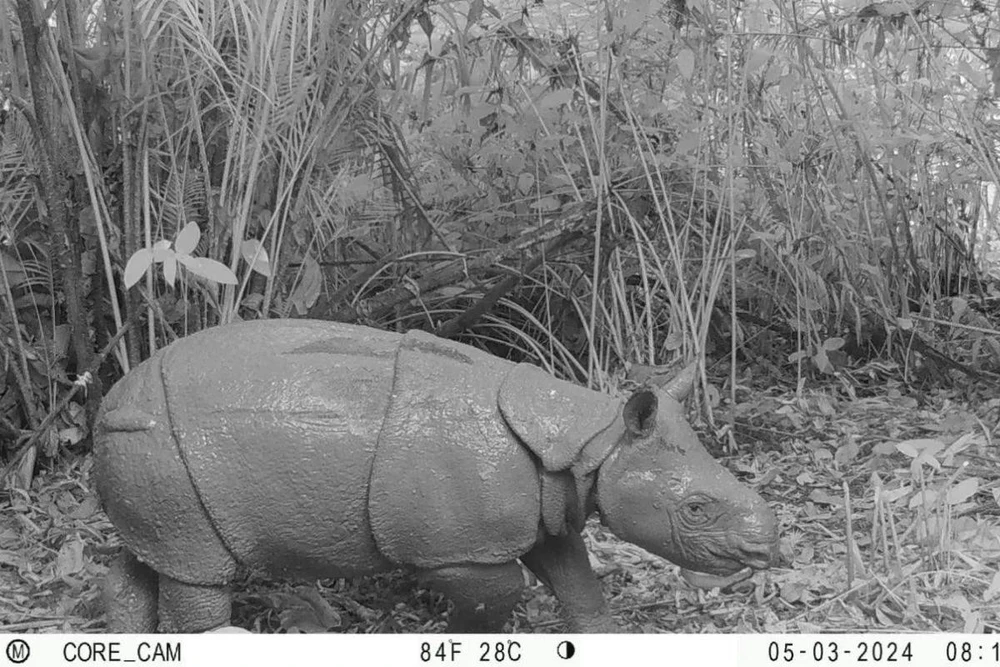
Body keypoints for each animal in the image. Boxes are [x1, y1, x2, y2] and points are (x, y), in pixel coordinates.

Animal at [95, 320, 780, 636]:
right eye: (695, 510)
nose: (766, 550)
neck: (590, 443)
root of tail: (108, 403)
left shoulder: (546, 508)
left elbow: (575, 578)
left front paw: (602, 634)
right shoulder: (457, 548)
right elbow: (499, 592)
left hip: (156, 461)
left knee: (159, 554)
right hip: (165, 446)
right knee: (197, 570)